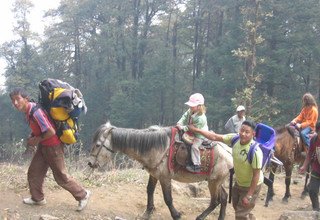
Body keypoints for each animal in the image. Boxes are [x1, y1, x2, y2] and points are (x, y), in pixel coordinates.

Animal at [87, 122, 232, 220]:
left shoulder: (164, 178)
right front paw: (148, 212)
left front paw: (176, 215)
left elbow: (168, 198)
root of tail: (229, 152)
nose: (90, 163)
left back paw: (200, 217)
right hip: (215, 181)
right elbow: (149, 190)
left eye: (98, 145)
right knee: (224, 198)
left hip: (214, 182)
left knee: (215, 201)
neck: (157, 147)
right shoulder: (154, 174)